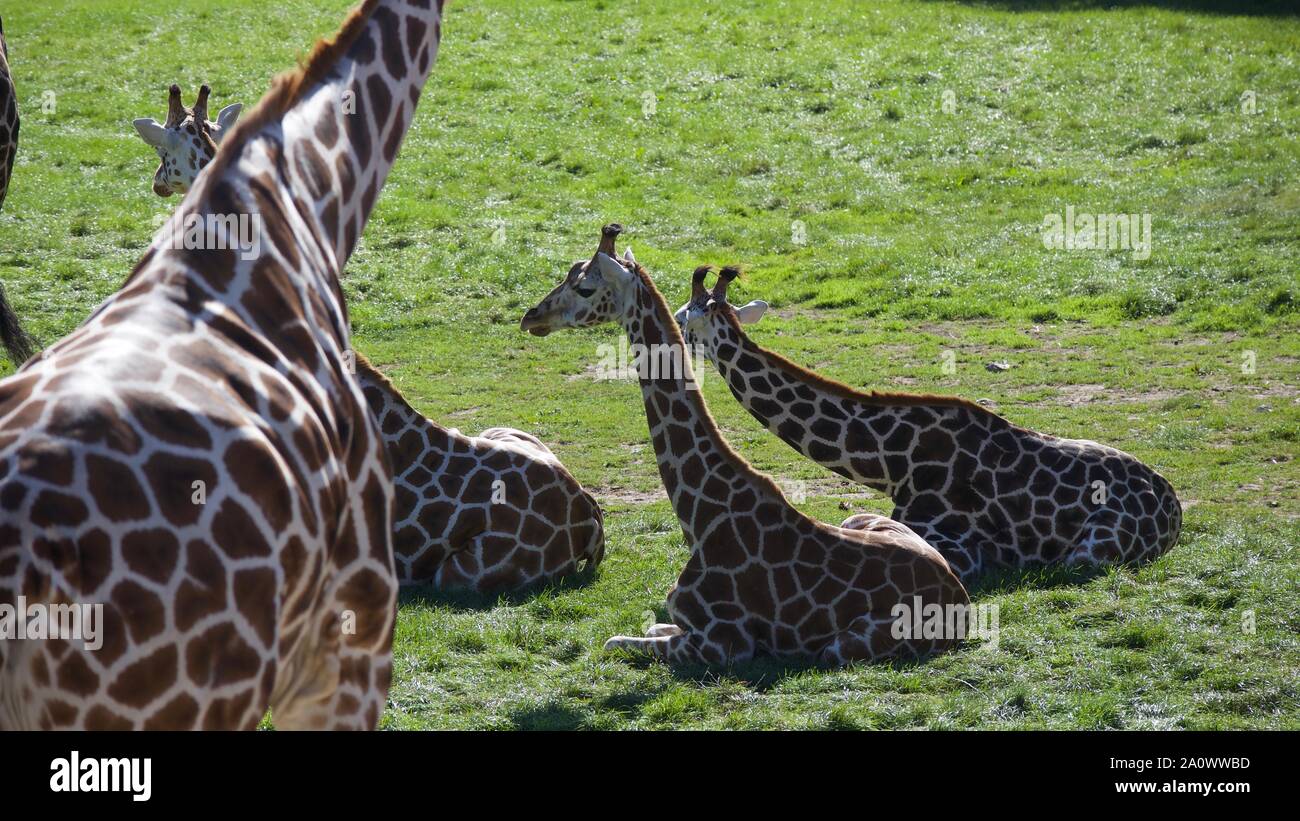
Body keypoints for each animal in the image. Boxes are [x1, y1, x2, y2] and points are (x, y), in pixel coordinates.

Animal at [517, 226, 967, 665]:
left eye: (585, 287)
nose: (531, 317)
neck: (700, 516)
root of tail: (960, 600)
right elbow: (650, 626)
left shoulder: (723, 643)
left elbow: (614, 642)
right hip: (864, 519)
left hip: (841, 648)